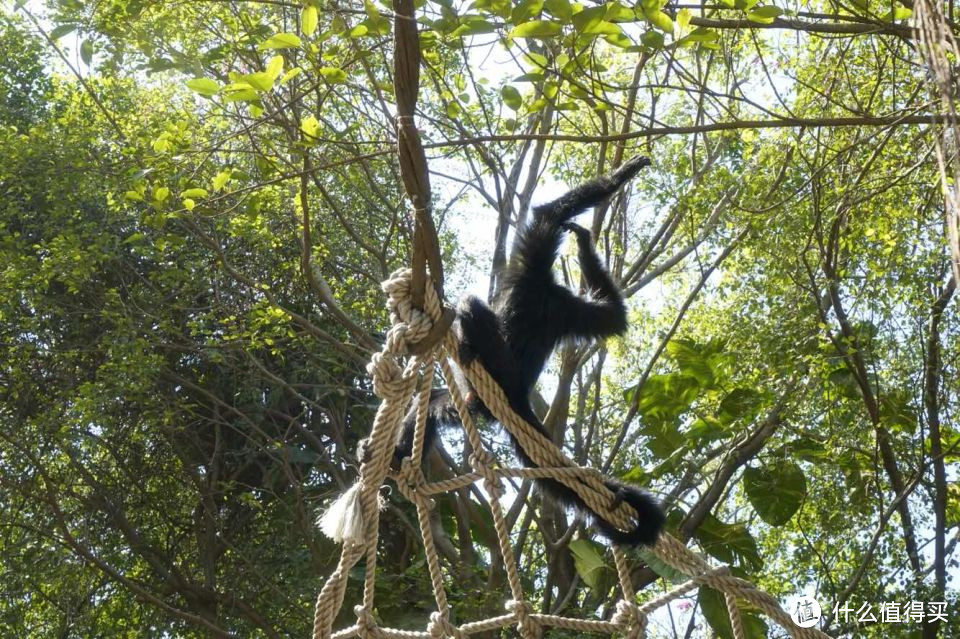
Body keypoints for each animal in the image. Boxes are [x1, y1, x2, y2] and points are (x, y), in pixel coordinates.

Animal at [394, 154, 664, 544]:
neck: (547, 290)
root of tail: (519, 398)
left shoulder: (536, 261)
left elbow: (546, 214)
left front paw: (620, 175)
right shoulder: (572, 310)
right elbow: (613, 318)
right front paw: (584, 240)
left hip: (498, 376)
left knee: (472, 306)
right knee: (430, 403)